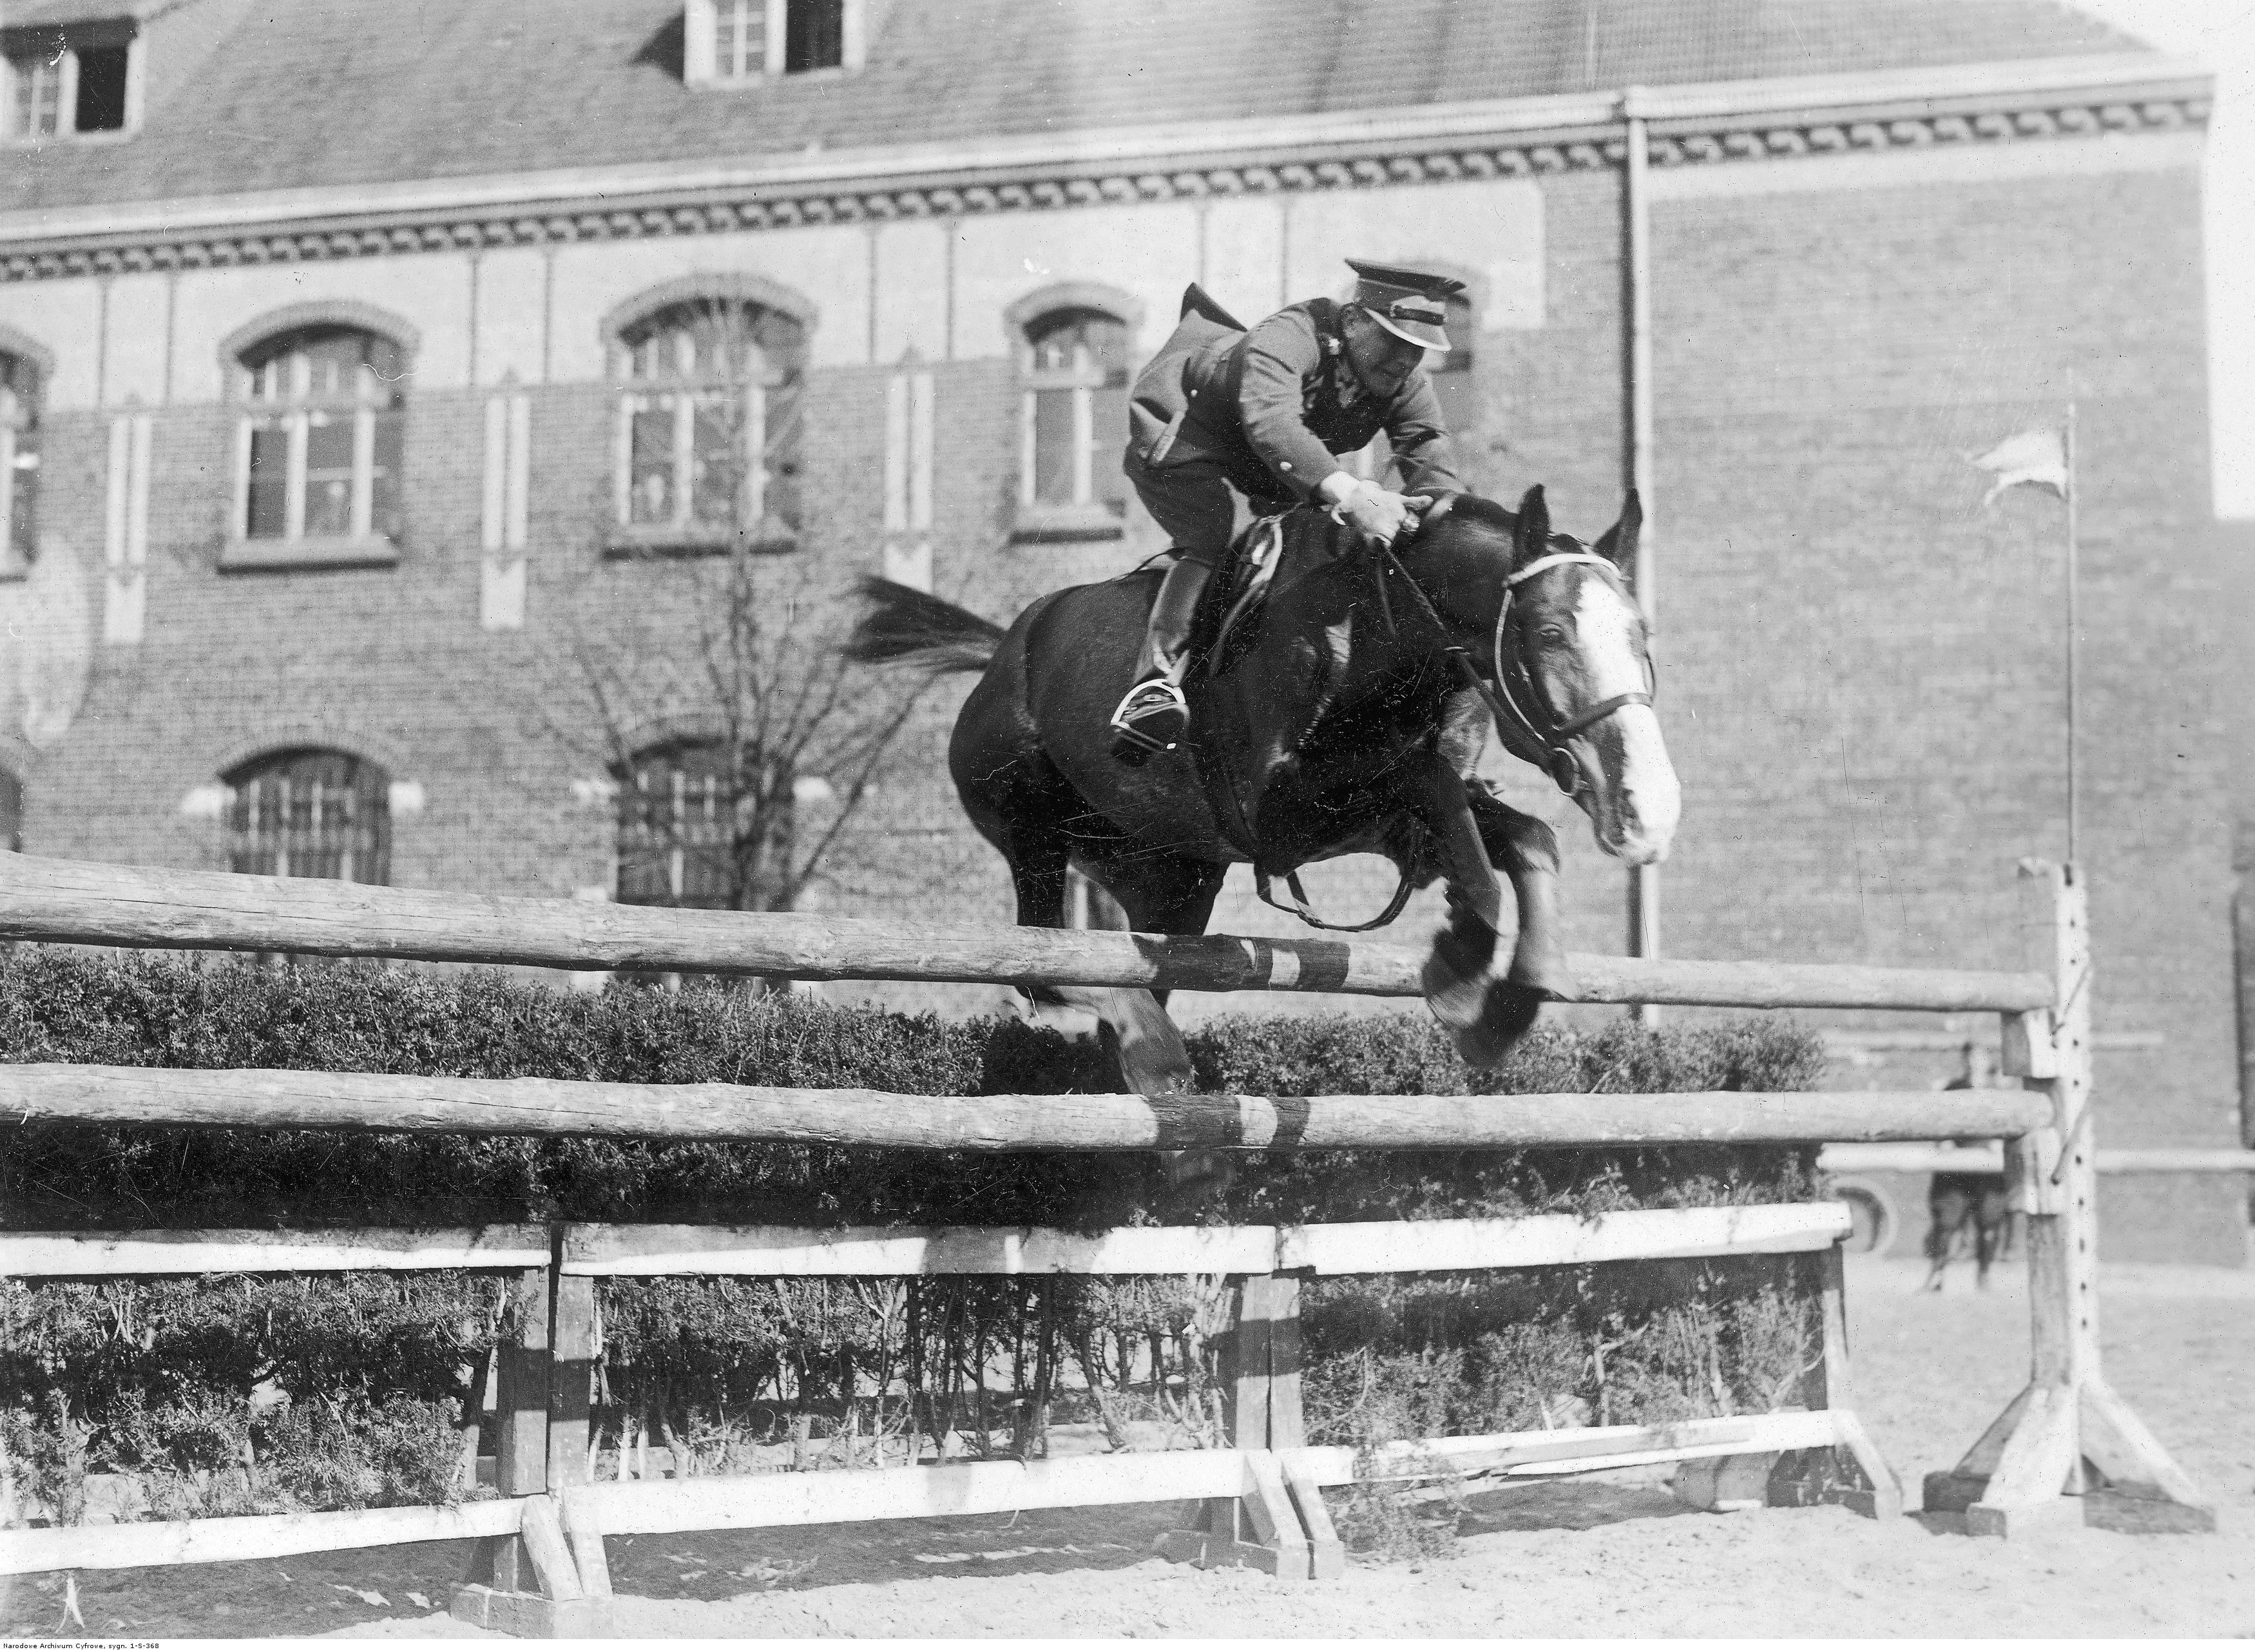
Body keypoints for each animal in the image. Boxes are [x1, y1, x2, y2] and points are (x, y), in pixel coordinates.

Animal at [852, 486, 1687, 1189]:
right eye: (1549, 632)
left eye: (1641, 632)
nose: (1649, 808)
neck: (1375, 625)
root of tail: (1001, 650)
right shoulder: (1289, 817)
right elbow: (1440, 797)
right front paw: (1459, 968)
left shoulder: (1380, 819)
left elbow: (1522, 836)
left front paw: (1507, 998)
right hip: (1031, 830)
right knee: (1046, 968)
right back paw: (1159, 1062)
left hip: (1171, 878)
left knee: (1124, 970)